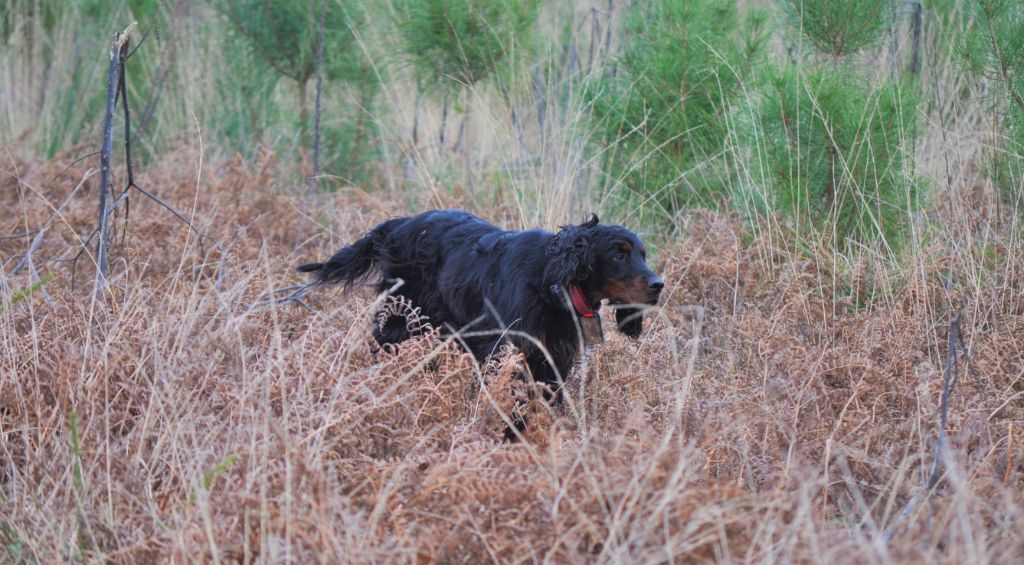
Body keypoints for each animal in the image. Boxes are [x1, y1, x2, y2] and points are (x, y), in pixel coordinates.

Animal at [296, 210, 663, 397]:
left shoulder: (552, 357)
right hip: (400, 319)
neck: (550, 283)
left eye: (643, 254)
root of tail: (399, 224)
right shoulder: (504, 351)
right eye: (618, 254)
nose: (659, 285)